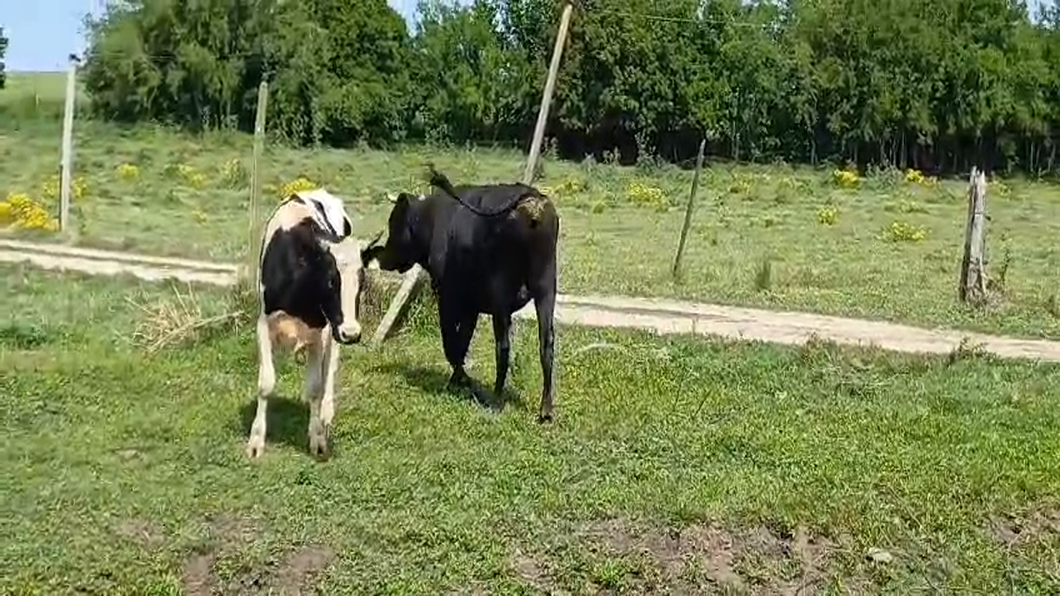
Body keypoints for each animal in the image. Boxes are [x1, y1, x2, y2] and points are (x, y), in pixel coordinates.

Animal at [248, 187, 381, 456]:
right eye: (331, 280)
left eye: (362, 281)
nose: (352, 333)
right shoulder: (264, 324)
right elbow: (266, 383)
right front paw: (256, 440)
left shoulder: (319, 331)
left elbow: (314, 387)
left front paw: (317, 437)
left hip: (333, 329)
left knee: (331, 366)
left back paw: (326, 412)